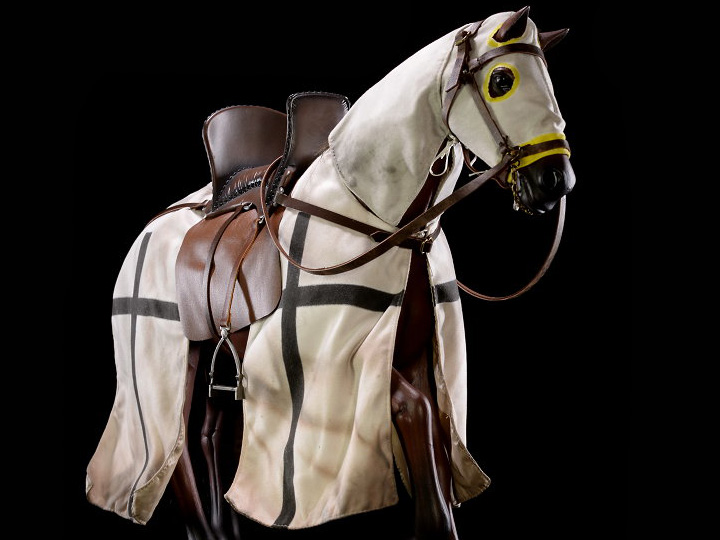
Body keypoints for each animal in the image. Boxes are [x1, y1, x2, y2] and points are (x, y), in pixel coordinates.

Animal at [85, 7, 575, 540]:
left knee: (207, 436)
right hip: (167, 362)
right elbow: (413, 411)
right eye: (502, 80)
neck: (381, 220)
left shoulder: (415, 358)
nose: (555, 180)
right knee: (171, 453)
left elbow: (431, 434)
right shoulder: (335, 366)